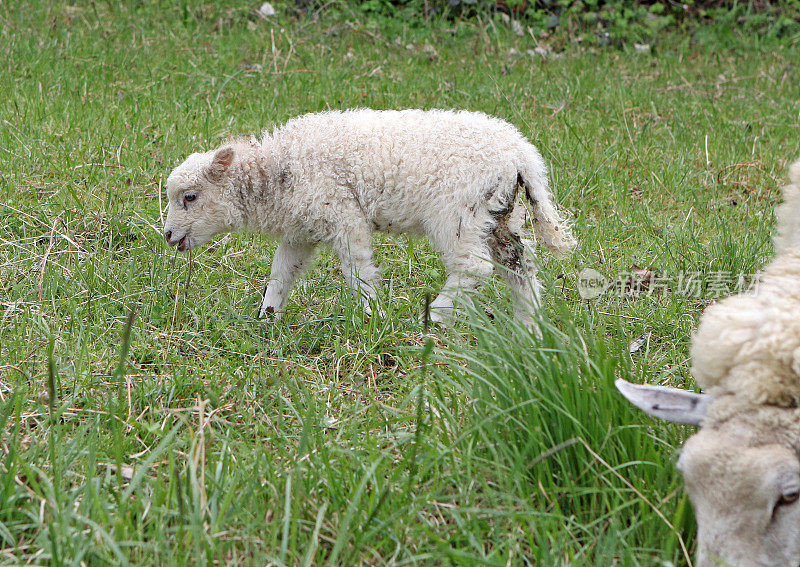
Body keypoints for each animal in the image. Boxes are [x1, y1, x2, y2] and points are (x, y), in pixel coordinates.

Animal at [162, 108, 576, 326]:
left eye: (190, 197)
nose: (167, 235)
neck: (280, 171)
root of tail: (522, 154)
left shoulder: (342, 214)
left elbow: (357, 267)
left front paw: (371, 314)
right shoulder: (301, 228)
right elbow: (282, 272)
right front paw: (267, 316)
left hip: (459, 212)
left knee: (474, 267)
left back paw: (434, 316)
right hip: (500, 213)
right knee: (519, 264)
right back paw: (529, 326)